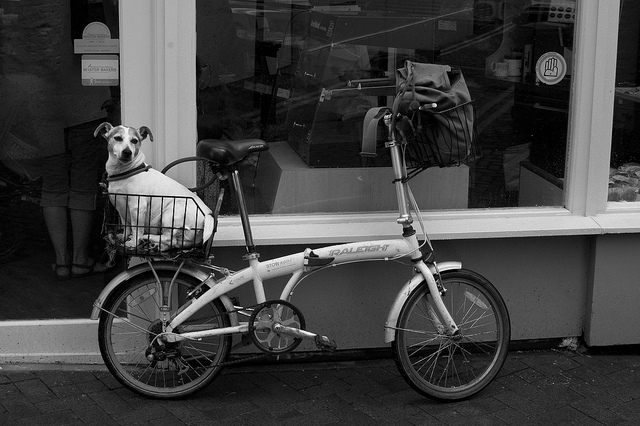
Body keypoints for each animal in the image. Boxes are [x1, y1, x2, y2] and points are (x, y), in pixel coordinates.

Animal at [94, 122, 214, 253]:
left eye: (134, 140)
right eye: (117, 138)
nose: (127, 152)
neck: (126, 172)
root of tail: (207, 215)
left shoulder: (137, 207)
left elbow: (136, 228)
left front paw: (133, 242)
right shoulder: (121, 207)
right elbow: (127, 226)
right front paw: (124, 237)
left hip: (170, 213)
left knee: (169, 238)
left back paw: (148, 238)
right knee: (175, 242)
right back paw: (156, 245)